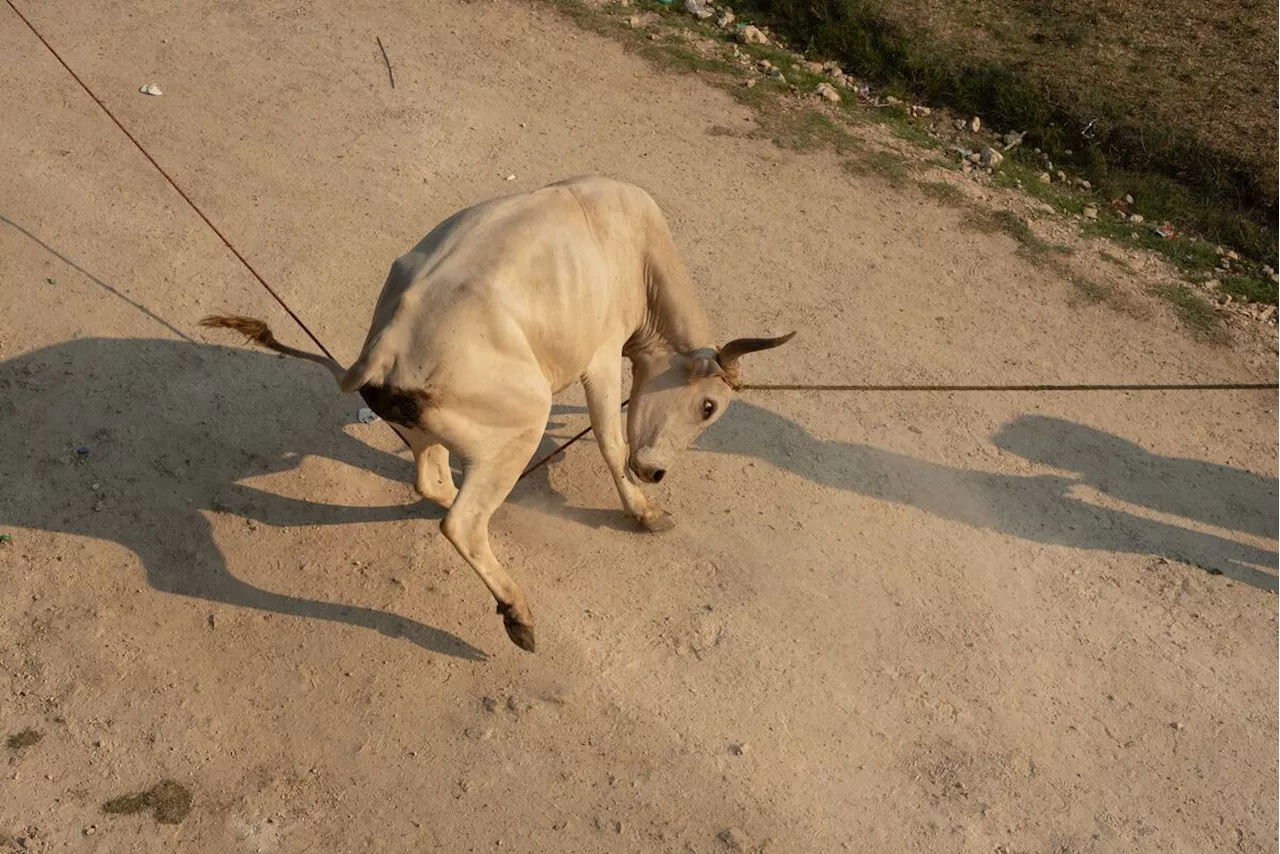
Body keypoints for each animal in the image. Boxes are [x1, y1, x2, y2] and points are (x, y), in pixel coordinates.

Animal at [202, 176, 788, 650]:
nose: (656, 472)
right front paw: (644, 511)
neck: (635, 253)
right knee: (460, 523)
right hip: (524, 421)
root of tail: (387, 343)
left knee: (432, 482)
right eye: (708, 406)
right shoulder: (600, 358)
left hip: (435, 430)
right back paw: (517, 613)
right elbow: (610, 441)